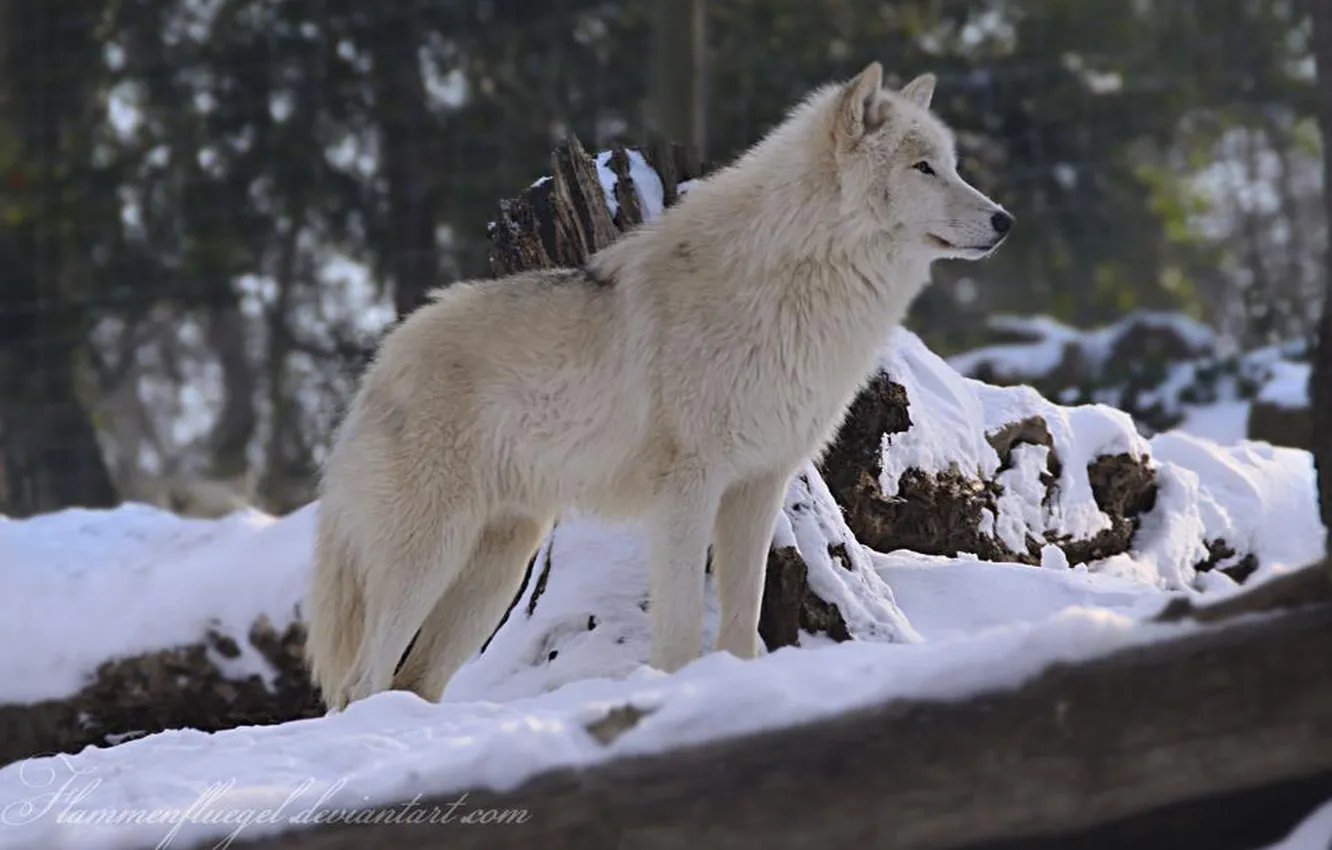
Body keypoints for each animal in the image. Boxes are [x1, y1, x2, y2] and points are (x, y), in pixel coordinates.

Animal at [304, 62, 1013, 710]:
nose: (1005, 220)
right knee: (360, 682)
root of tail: (379, 363)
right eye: (924, 168)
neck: (796, 280)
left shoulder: (759, 485)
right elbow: (679, 631)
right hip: (430, 557)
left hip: (497, 565)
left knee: (410, 681)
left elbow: (741, 622)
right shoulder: (688, 489)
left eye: (952, 166)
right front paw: (679, 693)